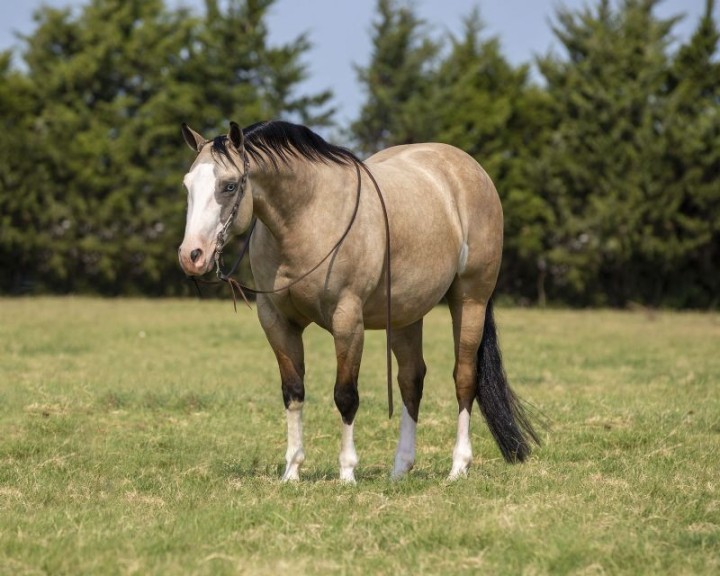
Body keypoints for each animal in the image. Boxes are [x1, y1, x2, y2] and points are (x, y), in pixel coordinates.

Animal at [178, 120, 538, 483]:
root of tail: (468, 169)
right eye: (188, 185)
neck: (308, 216)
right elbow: (293, 391)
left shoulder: (348, 319)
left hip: (470, 300)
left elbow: (346, 395)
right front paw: (292, 471)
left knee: (464, 378)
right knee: (411, 380)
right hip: (407, 315)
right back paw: (400, 468)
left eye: (229, 185)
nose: (192, 255)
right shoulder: (277, 320)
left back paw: (458, 466)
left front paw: (347, 472)